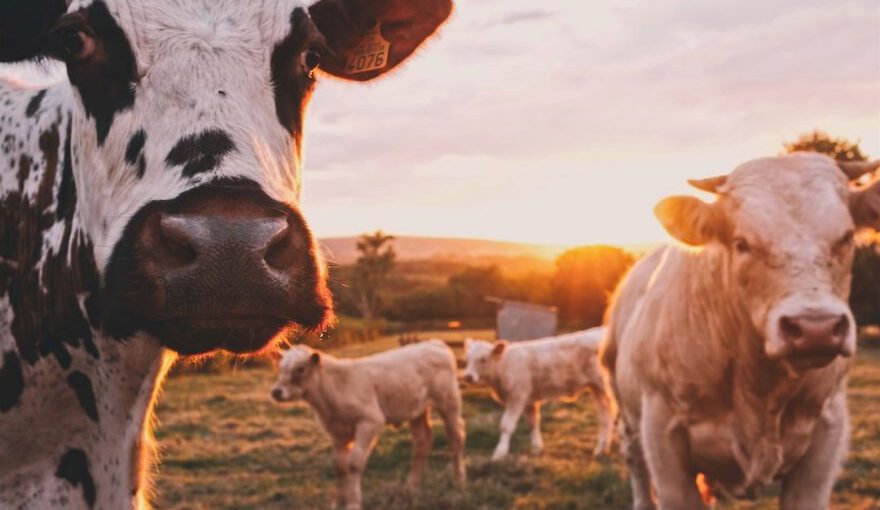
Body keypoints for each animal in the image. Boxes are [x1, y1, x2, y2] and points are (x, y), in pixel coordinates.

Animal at [272, 338, 468, 510]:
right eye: (280, 368)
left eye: (300, 369)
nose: (276, 392)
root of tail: (434, 343)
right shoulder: (337, 432)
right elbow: (340, 467)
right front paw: (338, 502)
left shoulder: (370, 421)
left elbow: (354, 464)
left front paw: (353, 503)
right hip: (417, 410)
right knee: (422, 440)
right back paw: (412, 485)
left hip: (449, 402)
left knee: (455, 437)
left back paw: (459, 480)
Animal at [464, 326, 616, 462]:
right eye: (468, 359)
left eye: (483, 359)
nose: (468, 376)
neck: (503, 366)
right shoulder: (529, 400)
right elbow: (533, 423)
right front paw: (537, 448)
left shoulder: (517, 397)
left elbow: (506, 425)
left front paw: (499, 453)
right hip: (596, 388)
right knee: (605, 415)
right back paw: (601, 449)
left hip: (605, 386)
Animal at [600, 154, 880, 510]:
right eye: (741, 243)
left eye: (845, 236)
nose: (815, 328)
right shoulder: (662, 437)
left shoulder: (827, 433)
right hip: (625, 412)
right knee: (636, 465)